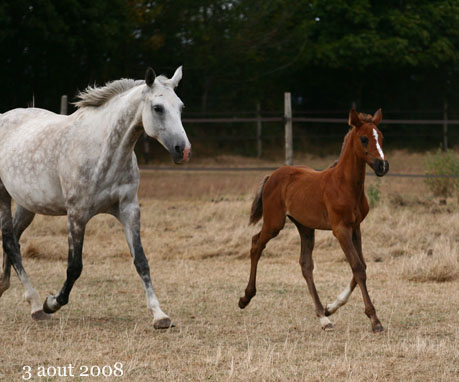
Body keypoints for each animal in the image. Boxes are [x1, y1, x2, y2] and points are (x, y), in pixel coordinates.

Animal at [239, 109, 390, 332]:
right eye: (364, 139)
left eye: (380, 137)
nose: (383, 166)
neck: (344, 184)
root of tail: (273, 175)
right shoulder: (340, 229)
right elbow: (358, 267)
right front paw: (374, 319)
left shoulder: (356, 227)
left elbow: (360, 266)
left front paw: (331, 307)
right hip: (274, 222)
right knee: (256, 243)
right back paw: (245, 298)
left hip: (305, 226)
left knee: (305, 265)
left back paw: (323, 317)